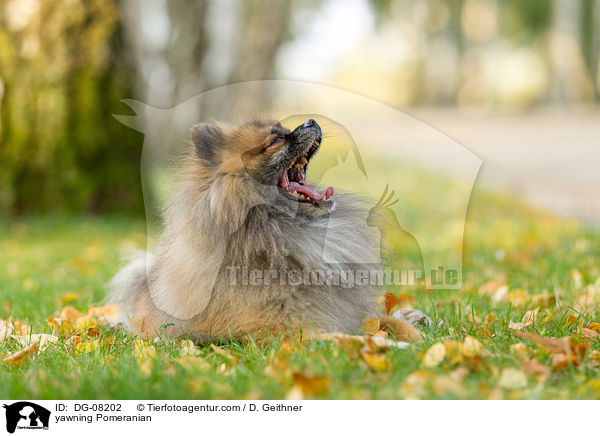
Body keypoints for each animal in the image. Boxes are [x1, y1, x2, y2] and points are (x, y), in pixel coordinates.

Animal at [109, 117, 426, 342]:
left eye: (285, 129)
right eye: (276, 138)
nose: (311, 121)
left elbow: (381, 319)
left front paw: (414, 335)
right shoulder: (281, 330)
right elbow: (344, 338)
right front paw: (389, 344)